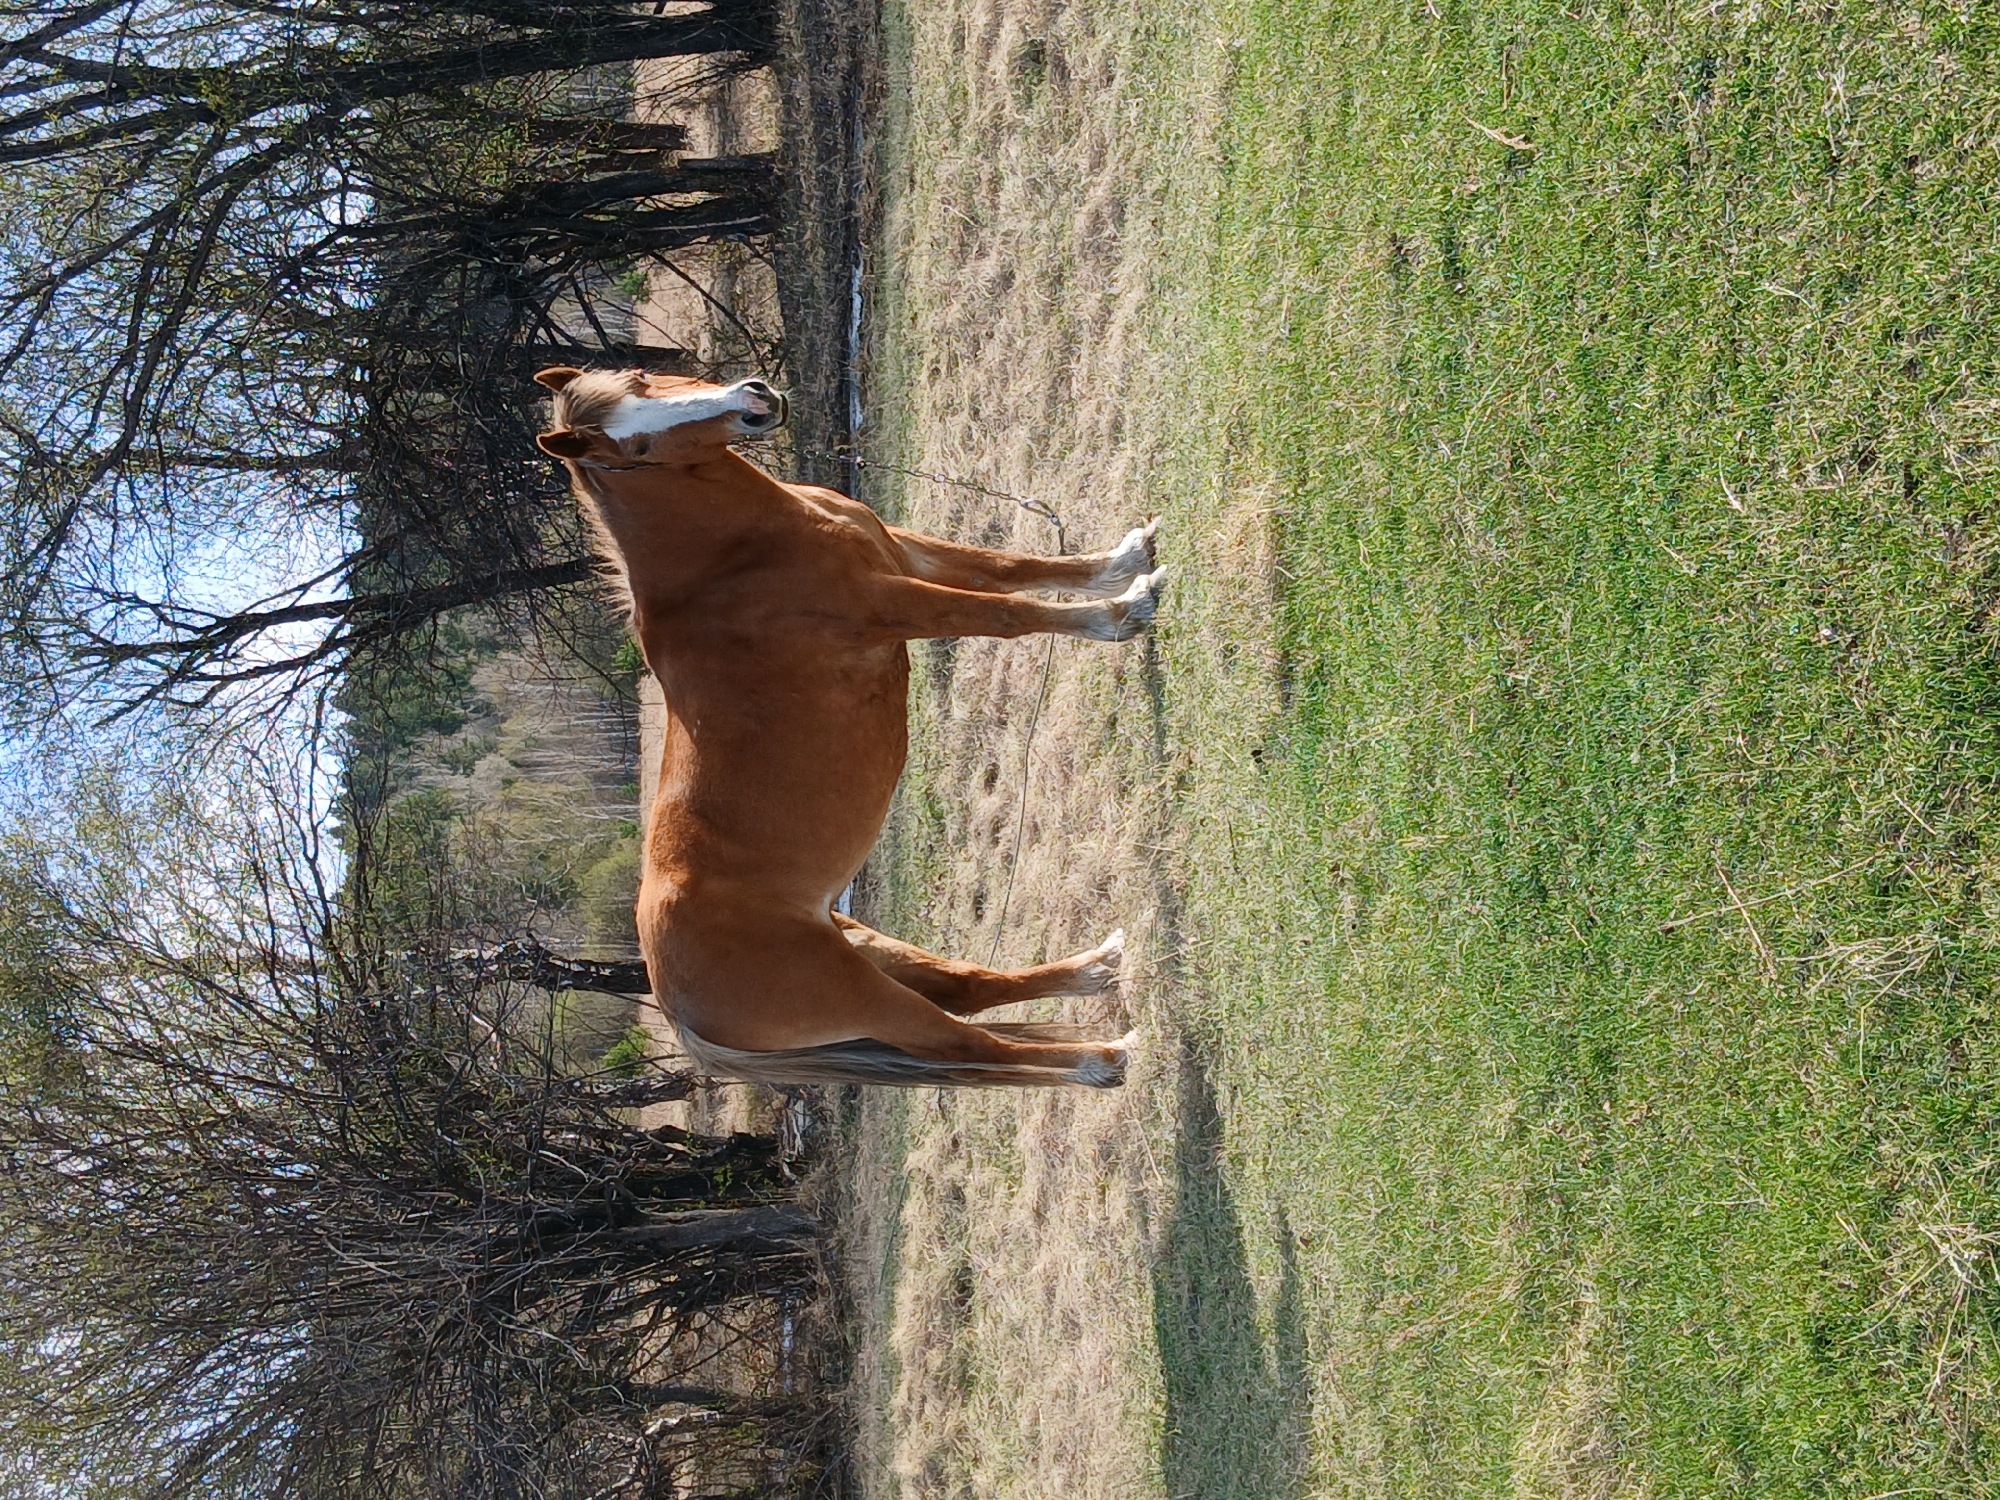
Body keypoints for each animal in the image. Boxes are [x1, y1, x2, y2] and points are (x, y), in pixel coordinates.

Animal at [534, 366, 1165, 1086]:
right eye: (633, 451)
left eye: (639, 377)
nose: (752, 402)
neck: (734, 560)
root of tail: (677, 1010)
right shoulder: (893, 601)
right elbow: (1008, 613)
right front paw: (1123, 611)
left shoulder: (903, 553)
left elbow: (1010, 568)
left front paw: (1126, 561)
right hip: (868, 997)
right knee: (969, 1048)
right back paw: (1103, 1060)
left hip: (871, 950)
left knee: (971, 989)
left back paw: (1100, 968)